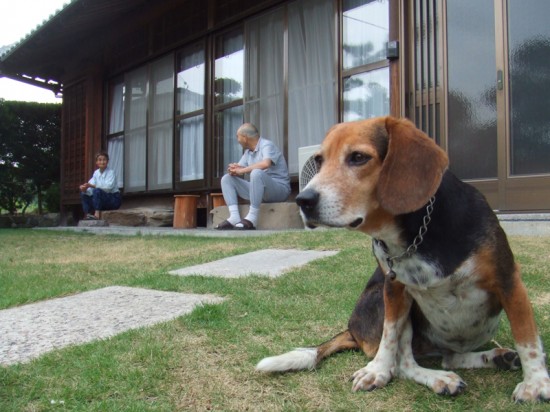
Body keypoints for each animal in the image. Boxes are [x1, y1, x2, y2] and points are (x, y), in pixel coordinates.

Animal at [258, 116, 550, 402]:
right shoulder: (394, 290)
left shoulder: (508, 280)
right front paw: (377, 370)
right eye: (319, 160)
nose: (303, 200)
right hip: (385, 300)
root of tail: (351, 329)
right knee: (405, 364)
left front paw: (535, 382)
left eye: (358, 157)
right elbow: (390, 341)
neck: (417, 235)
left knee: (449, 358)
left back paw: (495, 358)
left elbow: (527, 337)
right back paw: (439, 379)